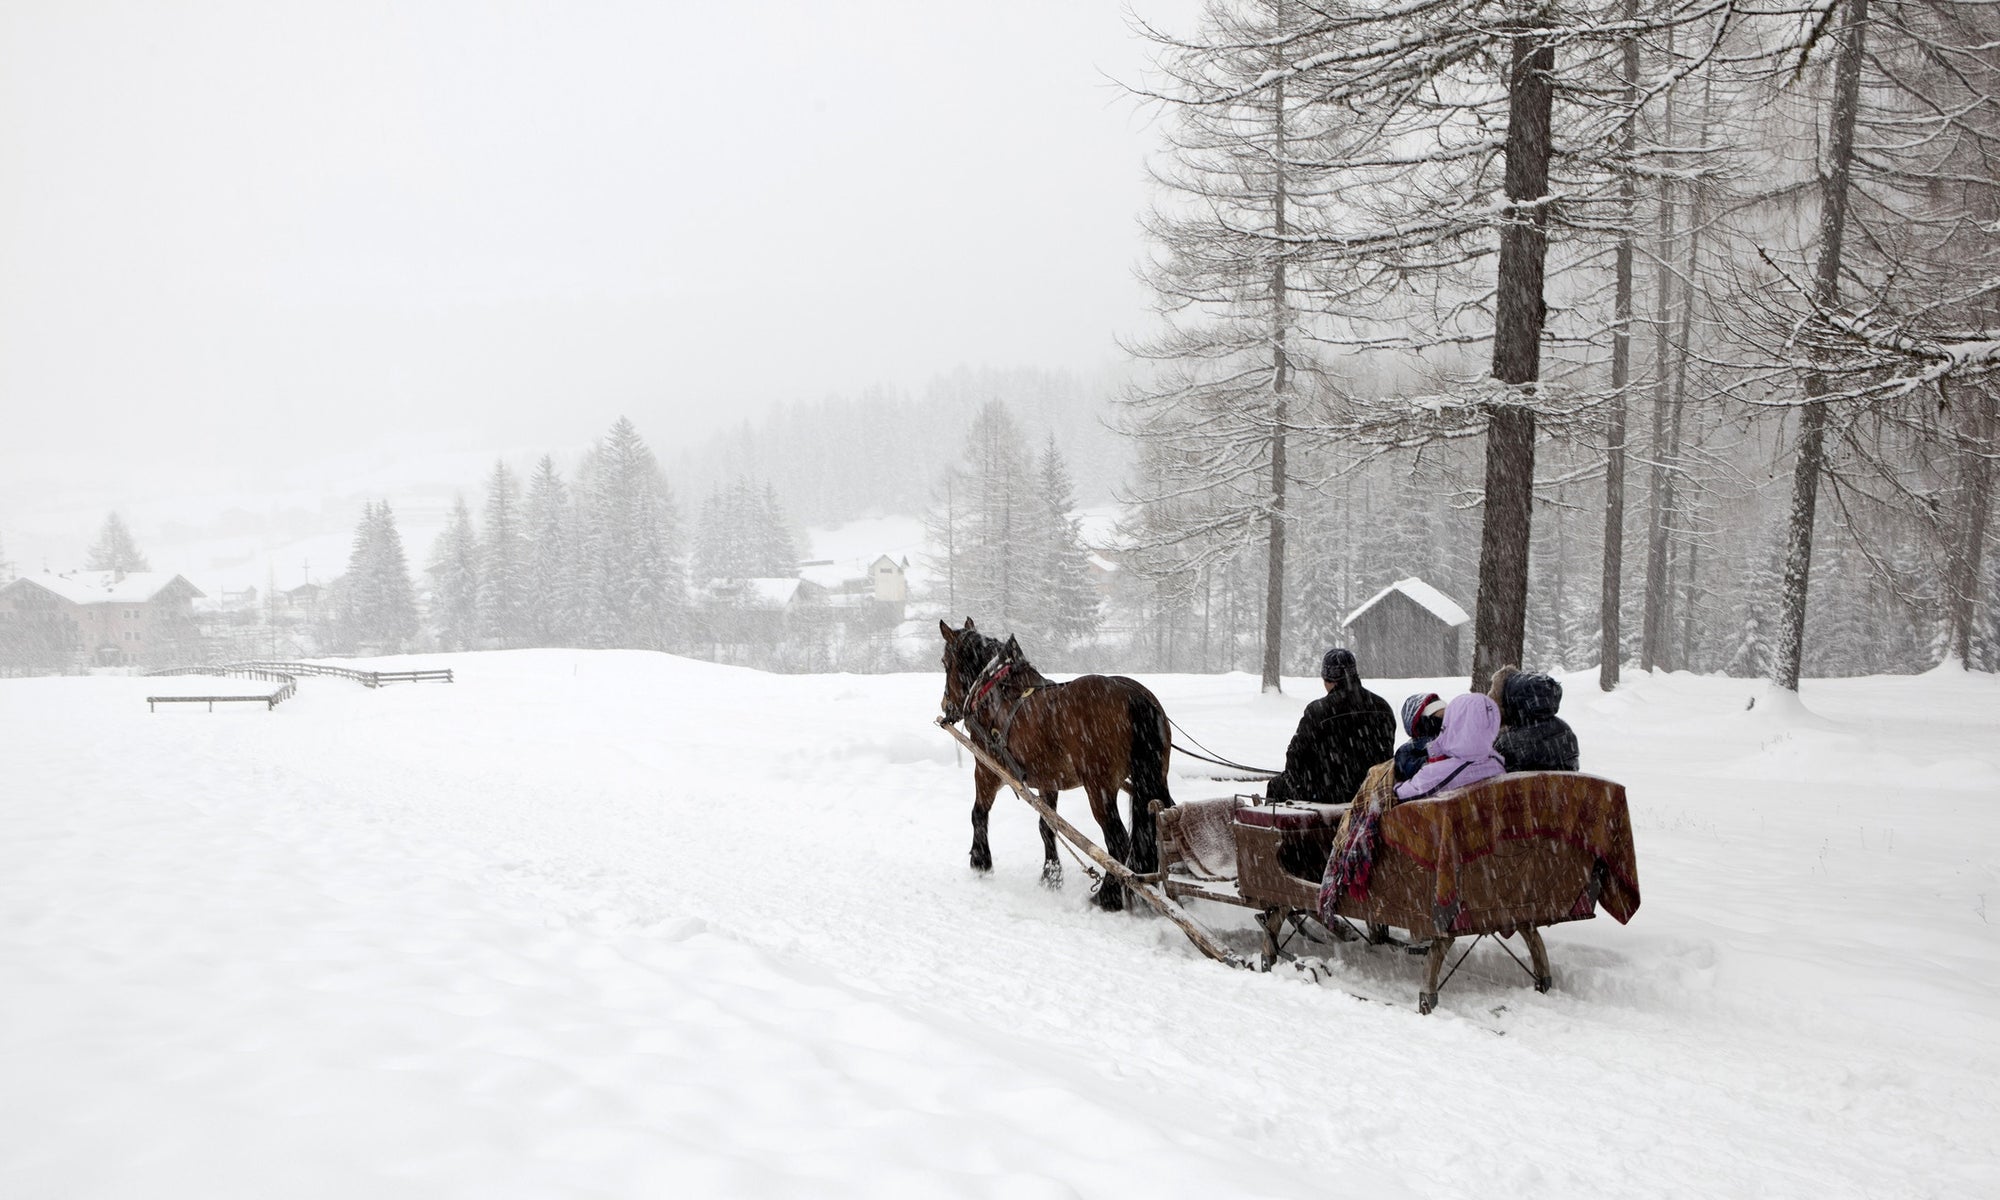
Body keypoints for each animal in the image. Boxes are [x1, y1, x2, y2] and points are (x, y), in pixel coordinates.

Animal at [936, 620, 1168, 908]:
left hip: (1099, 788)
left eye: (945, 662)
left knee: (1117, 842)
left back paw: (1107, 897)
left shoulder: (987, 769)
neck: (995, 693)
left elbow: (978, 813)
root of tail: (1133, 696)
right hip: (1155, 776)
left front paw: (981, 862)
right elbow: (1047, 826)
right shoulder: (1049, 781)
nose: (945, 704)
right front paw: (1051, 875)